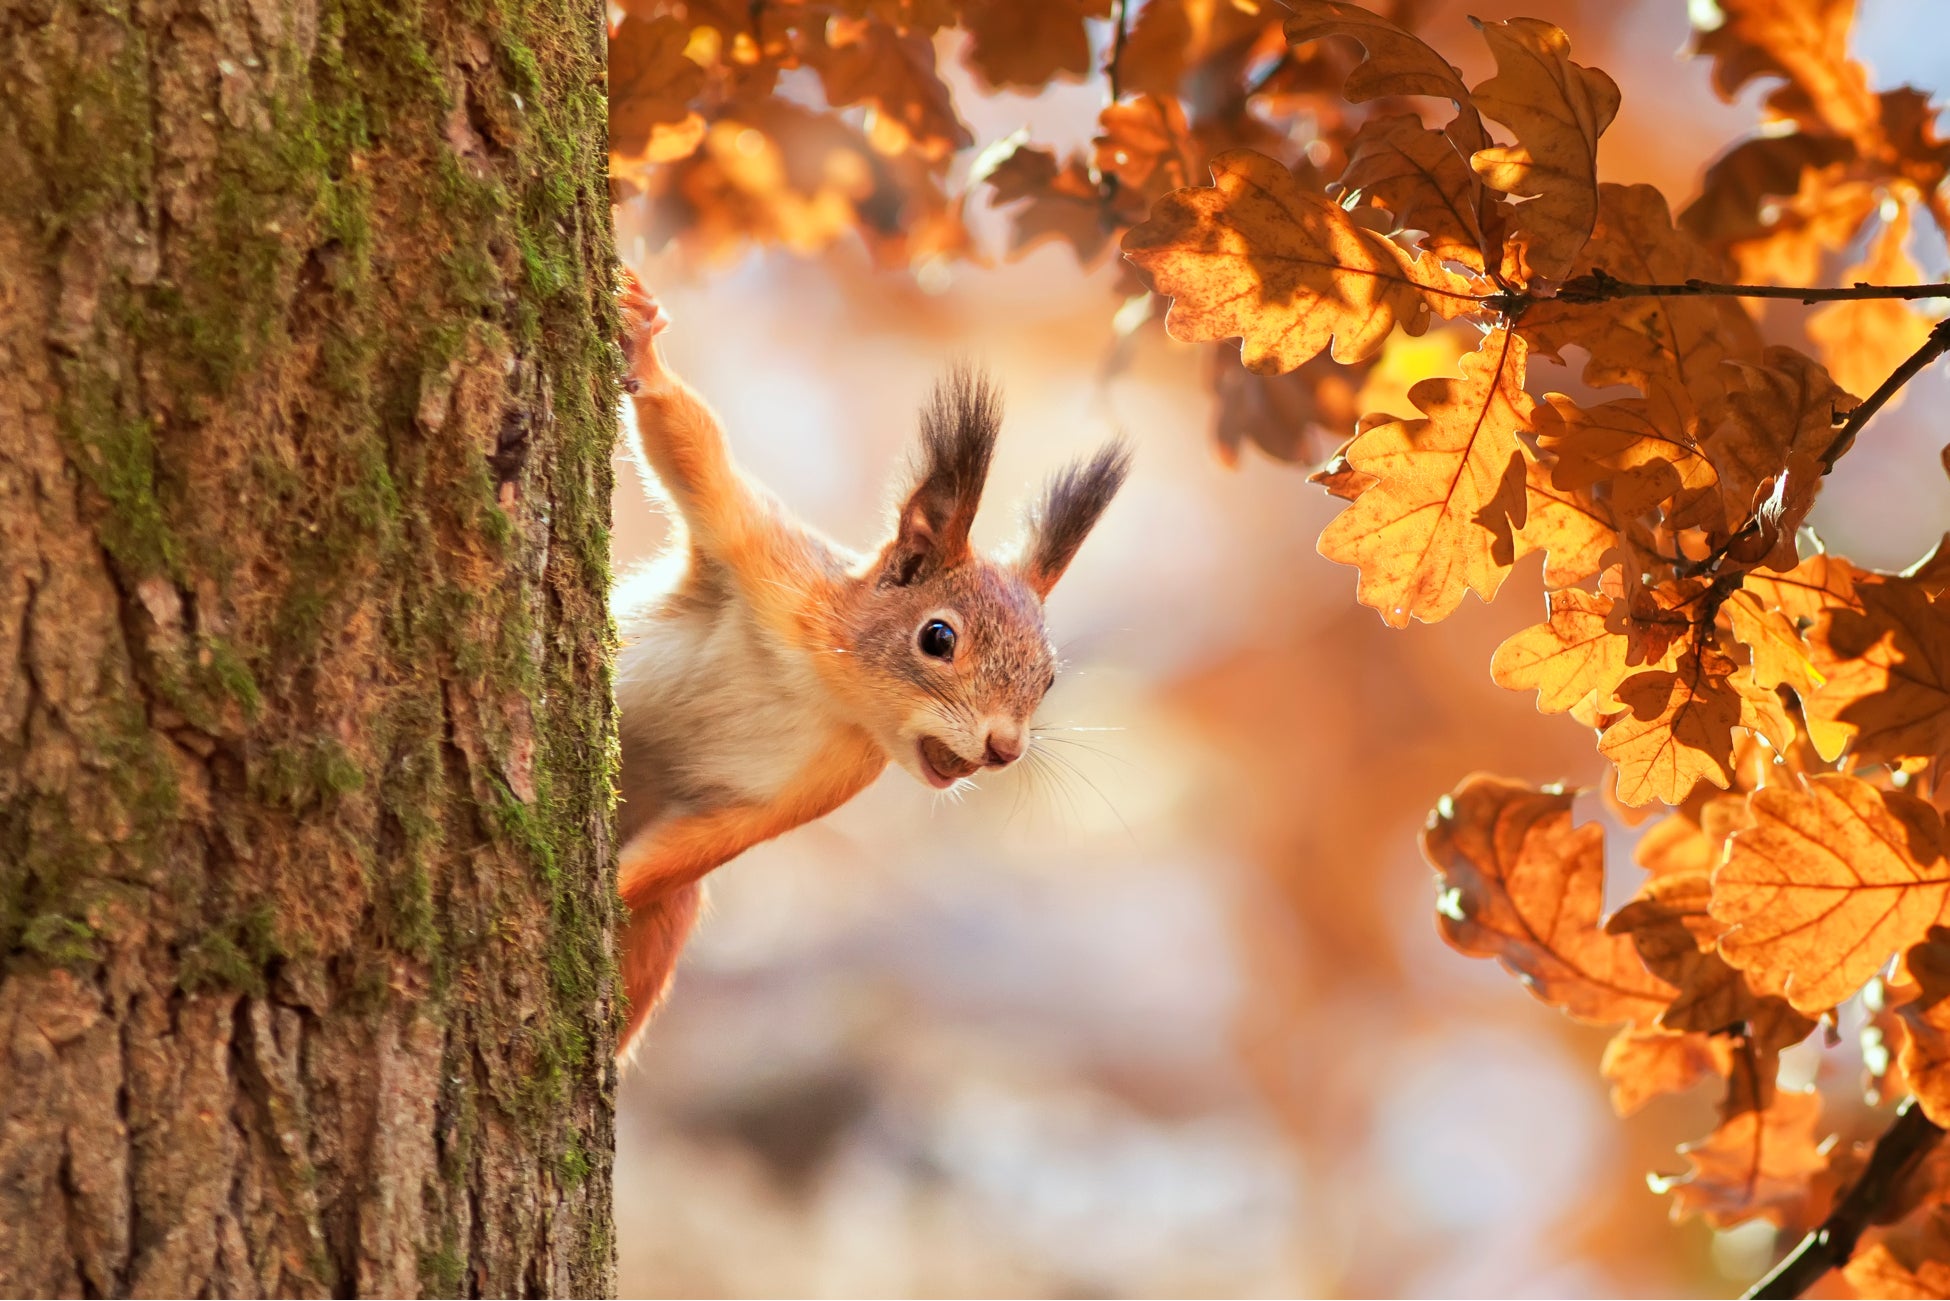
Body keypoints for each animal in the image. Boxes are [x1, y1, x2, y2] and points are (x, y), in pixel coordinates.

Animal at [608, 275, 1131, 1061]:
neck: (825, 687)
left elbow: (693, 849)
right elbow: (691, 445)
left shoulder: (819, 783)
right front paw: (644, 344)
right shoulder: (772, 562)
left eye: (1047, 679)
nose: (1005, 749)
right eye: (937, 637)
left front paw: (603, 889)